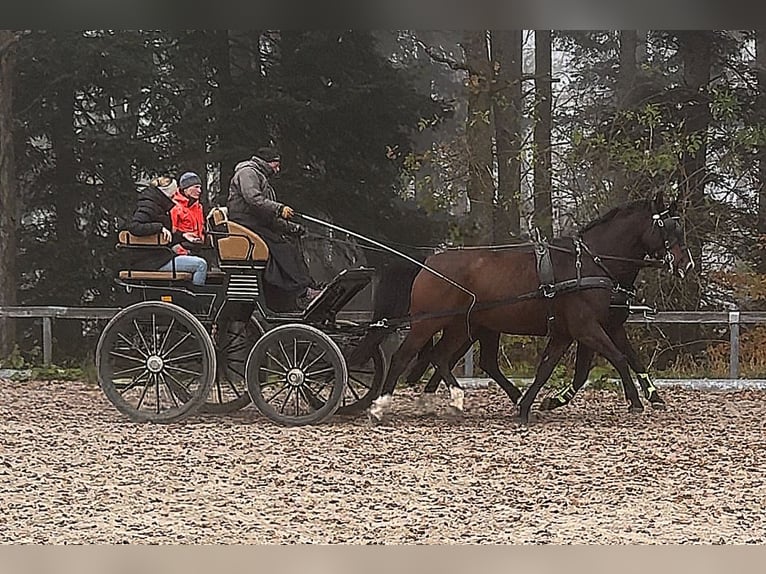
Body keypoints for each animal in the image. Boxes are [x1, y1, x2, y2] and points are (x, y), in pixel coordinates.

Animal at [368, 196, 692, 426]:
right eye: (668, 227)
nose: (686, 263)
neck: (590, 262)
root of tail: (428, 262)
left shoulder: (574, 331)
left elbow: (551, 369)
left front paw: (528, 406)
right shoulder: (587, 328)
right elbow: (619, 359)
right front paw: (636, 402)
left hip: (463, 327)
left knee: (442, 357)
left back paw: (456, 399)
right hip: (428, 323)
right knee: (404, 357)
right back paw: (380, 407)